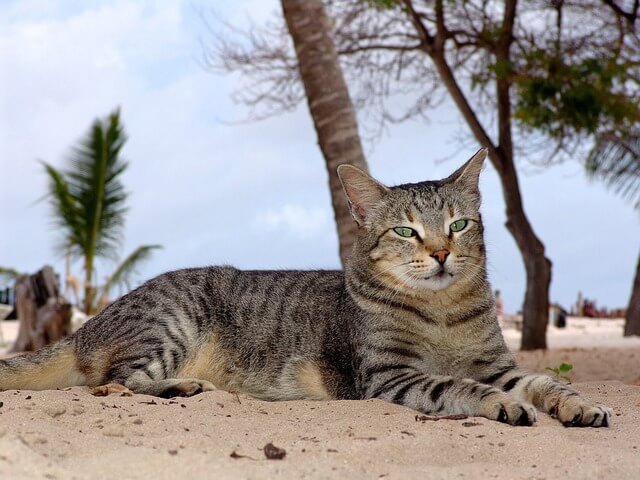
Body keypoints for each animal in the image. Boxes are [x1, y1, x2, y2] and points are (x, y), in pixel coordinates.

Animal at [0, 150, 608, 428]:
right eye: (406, 231)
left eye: (459, 225)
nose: (440, 253)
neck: (441, 312)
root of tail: (90, 324)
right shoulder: (389, 377)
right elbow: (460, 387)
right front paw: (503, 405)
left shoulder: (497, 363)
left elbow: (545, 380)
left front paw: (577, 404)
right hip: (170, 323)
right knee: (113, 382)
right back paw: (180, 387)